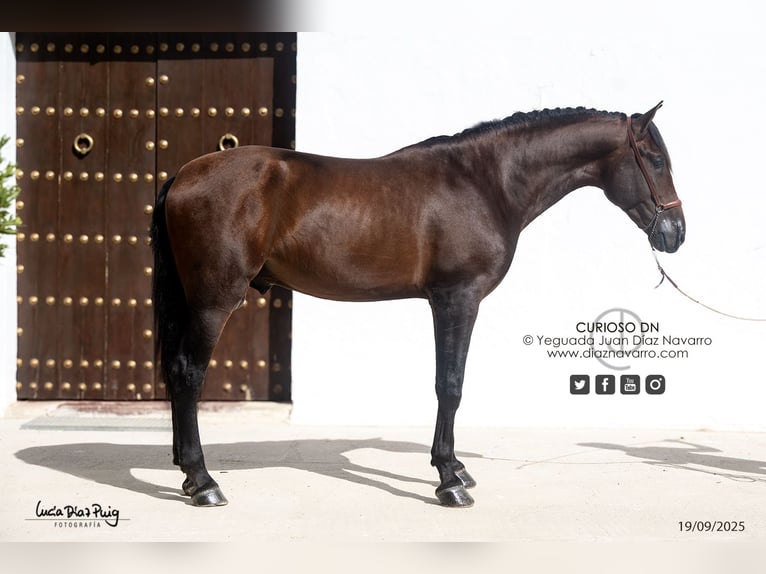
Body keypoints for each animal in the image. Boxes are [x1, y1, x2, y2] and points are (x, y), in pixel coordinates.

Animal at [150, 102, 685, 508]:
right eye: (655, 159)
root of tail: (184, 173)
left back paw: (186, 472)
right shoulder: (456, 299)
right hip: (214, 300)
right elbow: (450, 385)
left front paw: (457, 468)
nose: (675, 233)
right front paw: (450, 480)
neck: (484, 182)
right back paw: (204, 483)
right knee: (188, 375)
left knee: (175, 372)